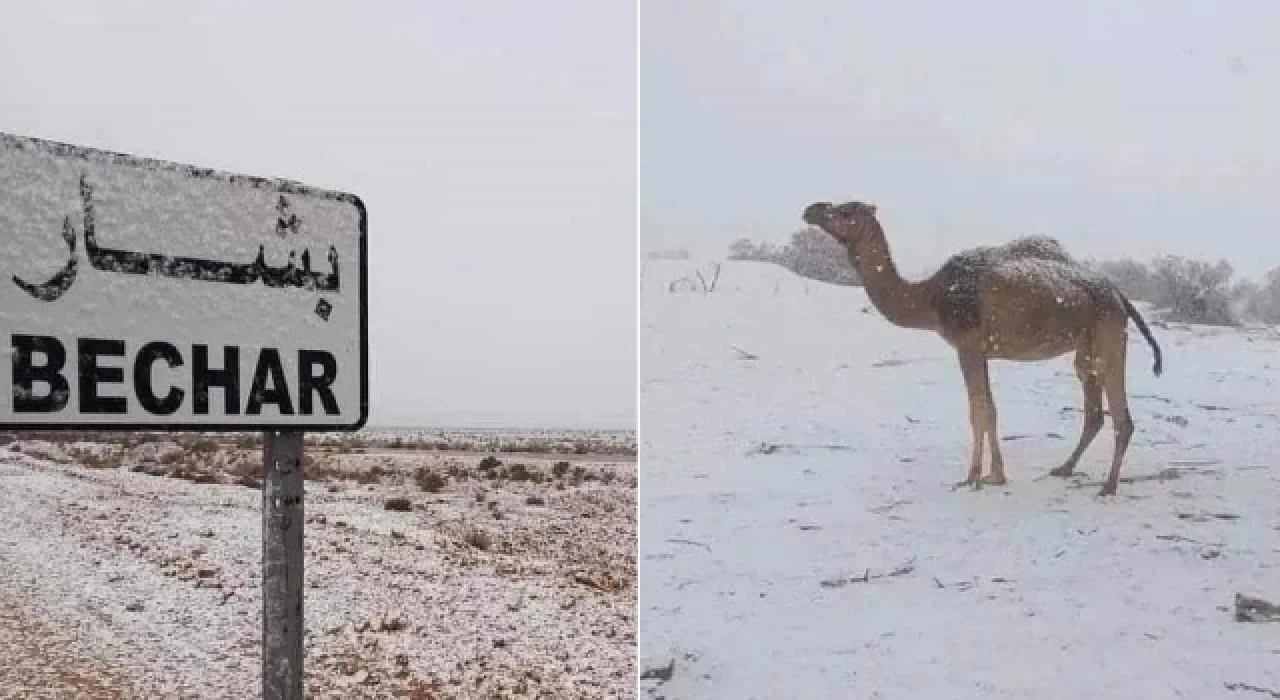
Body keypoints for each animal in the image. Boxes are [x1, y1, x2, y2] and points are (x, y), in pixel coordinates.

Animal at [803, 199, 1167, 496]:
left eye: (846, 211)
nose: (811, 208)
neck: (930, 297)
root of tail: (1119, 295)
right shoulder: (981, 351)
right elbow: (990, 410)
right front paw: (996, 475)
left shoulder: (967, 347)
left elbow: (977, 412)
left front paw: (973, 477)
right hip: (1086, 349)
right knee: (1093, 411)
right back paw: (1065, 468)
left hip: (1109, 336)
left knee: (1121, 416)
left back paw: (1108, 487)